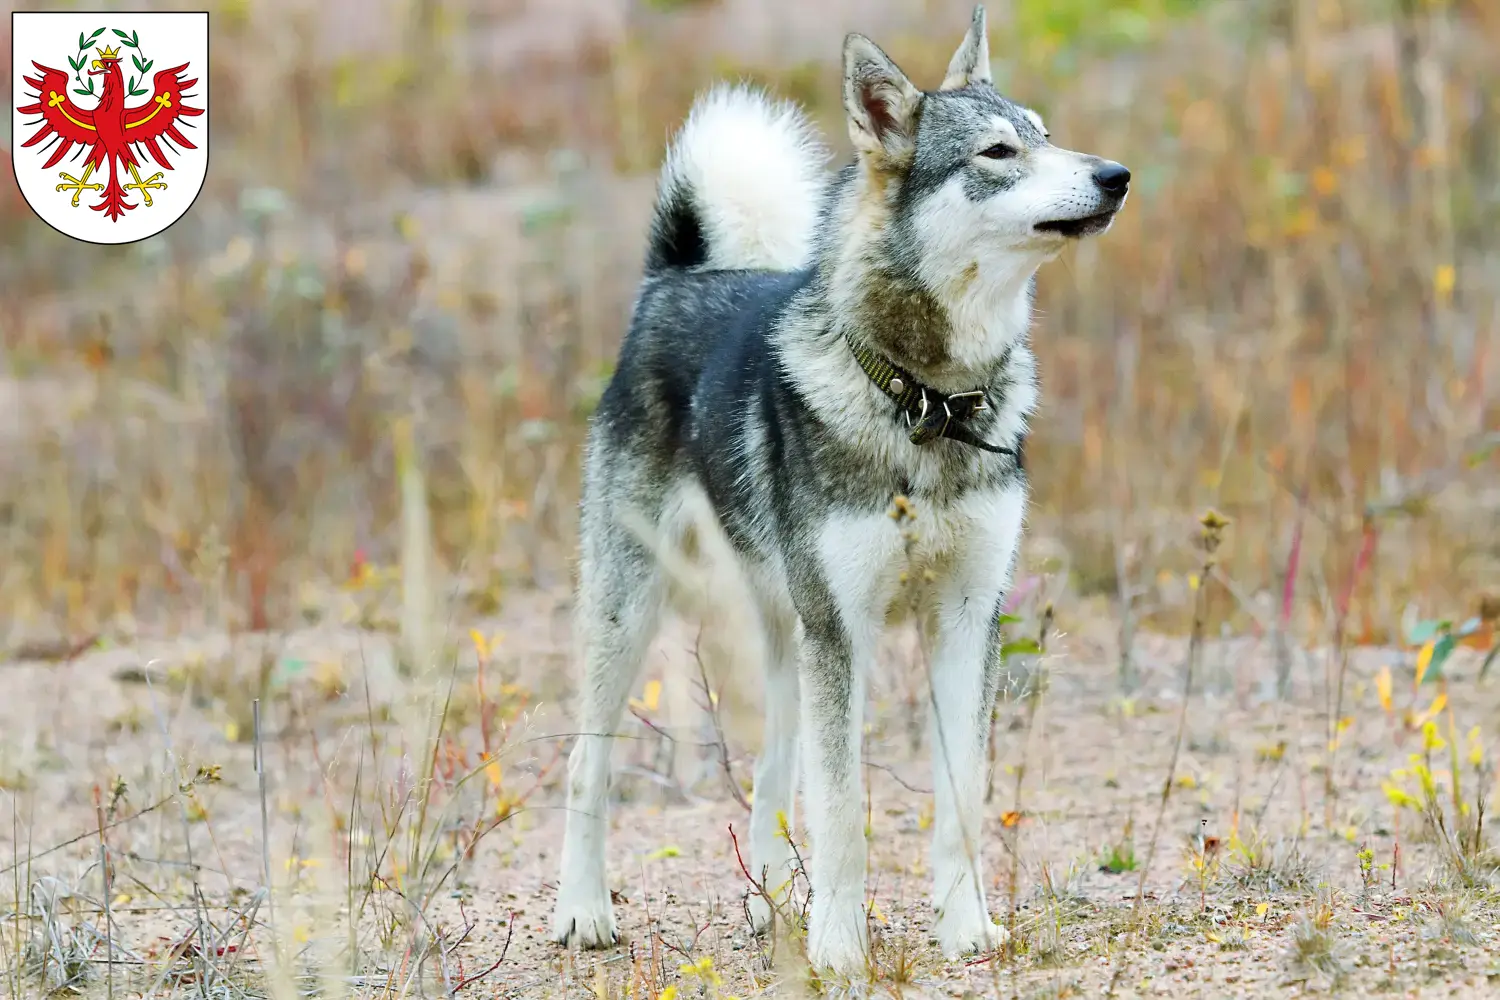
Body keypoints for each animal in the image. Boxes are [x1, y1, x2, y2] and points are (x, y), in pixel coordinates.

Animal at [552, 5, 1128, 977]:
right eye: (998, 153)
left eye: (1049, 136)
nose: (1116, 176)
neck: (927, 403)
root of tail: (674, 277)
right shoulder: (847, 630)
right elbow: (844, 810)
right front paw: (839, 946)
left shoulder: (965, 622)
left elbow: (958, 801)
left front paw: (964, 930)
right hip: (634, 614)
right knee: (586, 767)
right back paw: (583, 911)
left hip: (791, 635)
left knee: (772, 768)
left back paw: (773, 900)